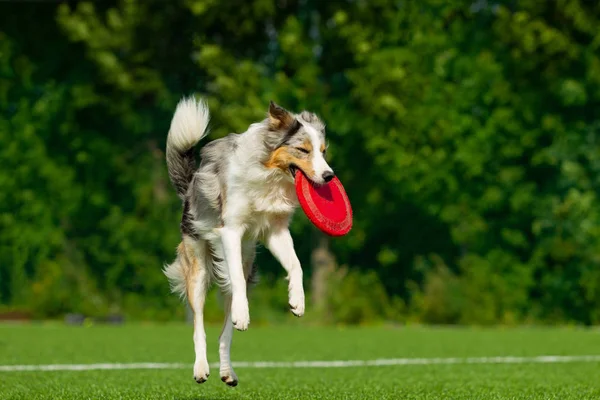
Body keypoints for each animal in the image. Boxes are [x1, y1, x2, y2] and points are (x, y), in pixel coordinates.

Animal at [163, 95, 332, 386]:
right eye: (303, 150)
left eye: (323, 151)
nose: (329, 176)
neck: (269, 175)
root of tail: (190, 187)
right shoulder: (231, 231)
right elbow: (235, 284)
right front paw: (243, 315)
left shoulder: (275, 232)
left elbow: (296, 265)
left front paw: (297, 301)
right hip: (198, 269)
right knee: (199, 325)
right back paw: (201, 369)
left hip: (246, 262)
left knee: (224, 334)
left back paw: (227, 372)